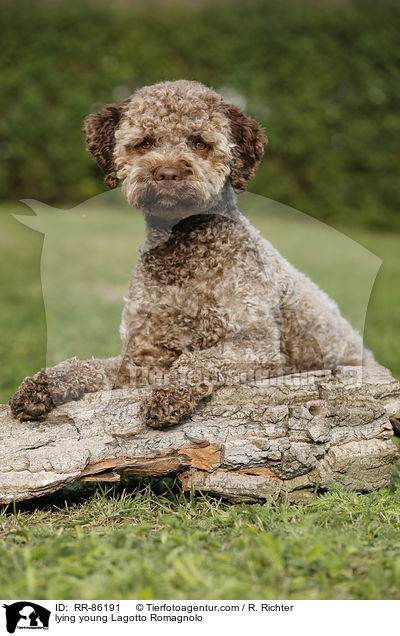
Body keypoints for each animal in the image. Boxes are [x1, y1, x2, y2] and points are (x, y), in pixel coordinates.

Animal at [10, 78, 376, 428]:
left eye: (199, 142)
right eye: (145, 143)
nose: (167, 173)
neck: (184, 257)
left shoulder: (256, 346)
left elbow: (196, 360)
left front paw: (168, 397)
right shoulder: (142, 358)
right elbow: (86, 366)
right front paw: (40, 387)